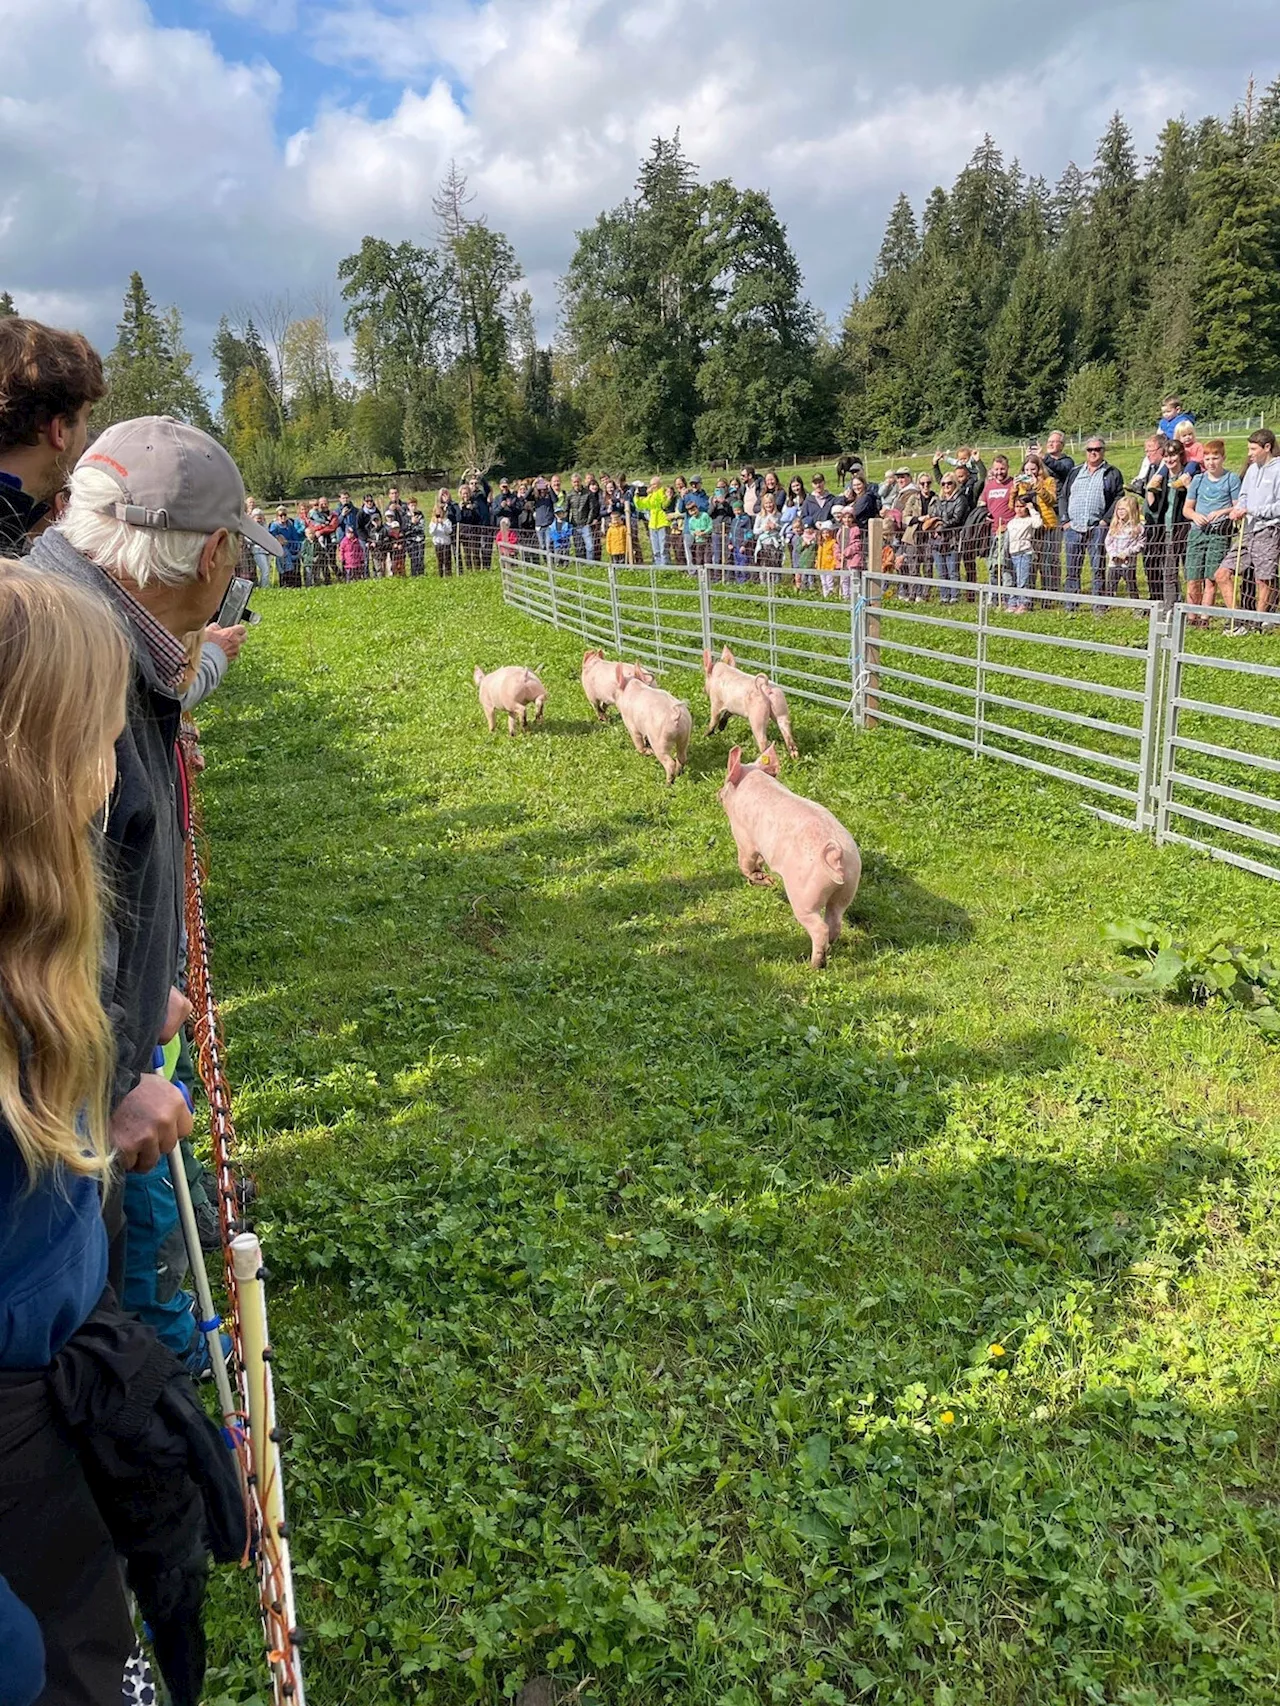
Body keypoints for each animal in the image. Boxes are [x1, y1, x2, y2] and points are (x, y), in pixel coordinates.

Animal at [723, 743, 863, 969]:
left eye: (726, 782)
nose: (718, 793)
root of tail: (837, 856)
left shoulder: (743, 834)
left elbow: (746, 862)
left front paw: (765, 880)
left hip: (804, 896)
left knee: (819, 927)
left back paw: (814, 964)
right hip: (847, 888)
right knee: (835, 920)